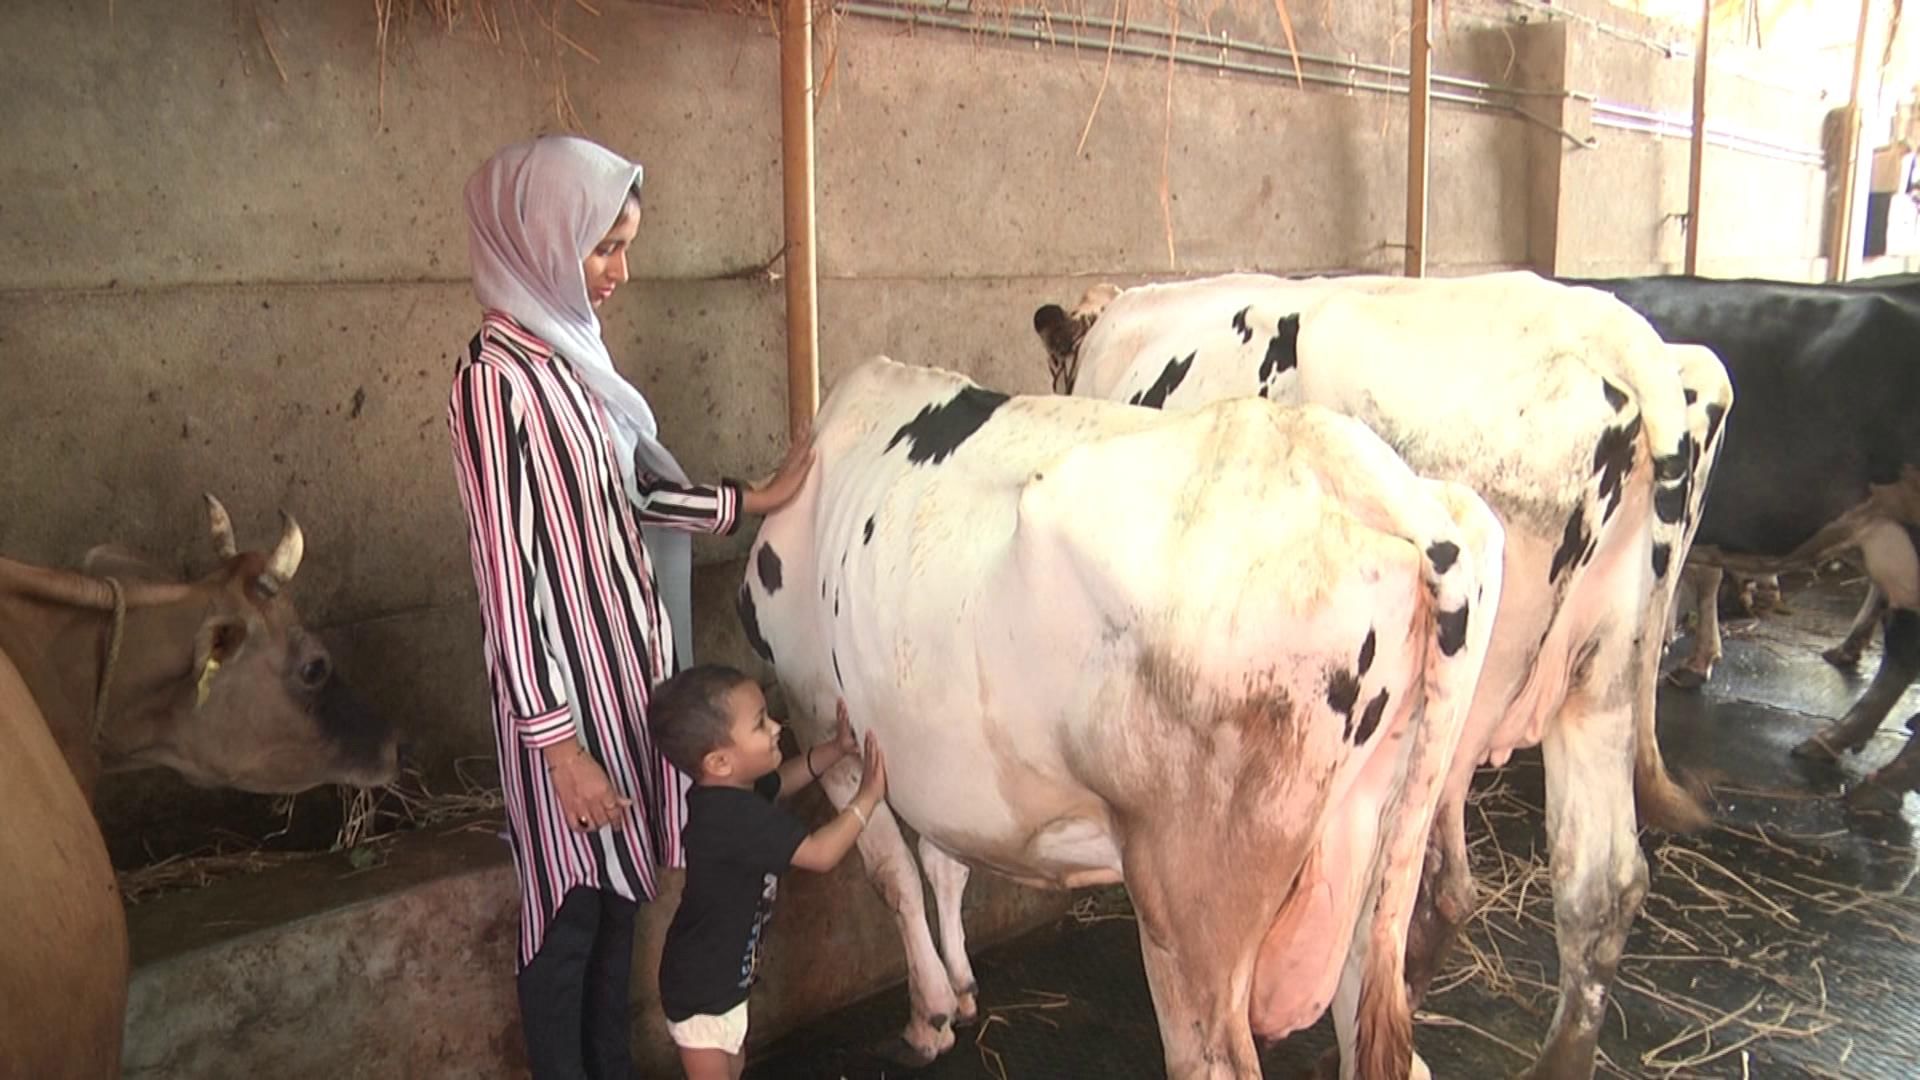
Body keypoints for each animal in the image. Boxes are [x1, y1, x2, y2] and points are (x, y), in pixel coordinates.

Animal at [733, 359, 1497, 1076]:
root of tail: (1358, 472)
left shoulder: (819, 712)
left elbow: (891, 870)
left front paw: (930, 1015)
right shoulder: (936, 753)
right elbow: (943, 861)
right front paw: (961, 988)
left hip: (1189, 894)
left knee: (1209, 1055)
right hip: (1378, 849)